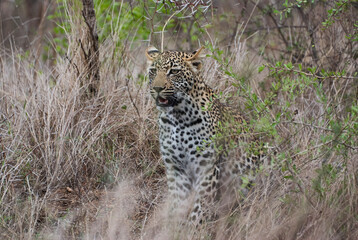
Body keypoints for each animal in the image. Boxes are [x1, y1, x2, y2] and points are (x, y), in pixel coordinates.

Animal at [144, 45, 264, 225]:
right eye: (153, 71)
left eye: (173, 71)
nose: (157, 89)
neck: (177, 116)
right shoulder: (176, 169)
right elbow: (177, 206)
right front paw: (174, 228)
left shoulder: (207, 168)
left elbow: (199, 210)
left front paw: (193, 228)